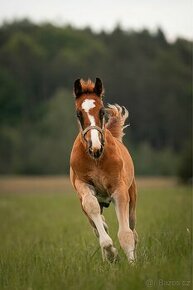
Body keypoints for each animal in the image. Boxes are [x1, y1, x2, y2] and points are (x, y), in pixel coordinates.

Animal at [70, 77, 138, 262]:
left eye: (101, 112)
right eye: (78, 114)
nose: (95, 146)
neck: (96, 160)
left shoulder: (119, 190)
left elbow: (126, 234)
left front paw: (133, 265)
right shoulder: (83, 185)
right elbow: (91, 206)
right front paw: (110, 252)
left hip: (132, 198)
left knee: (133, 229)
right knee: (96, 224)